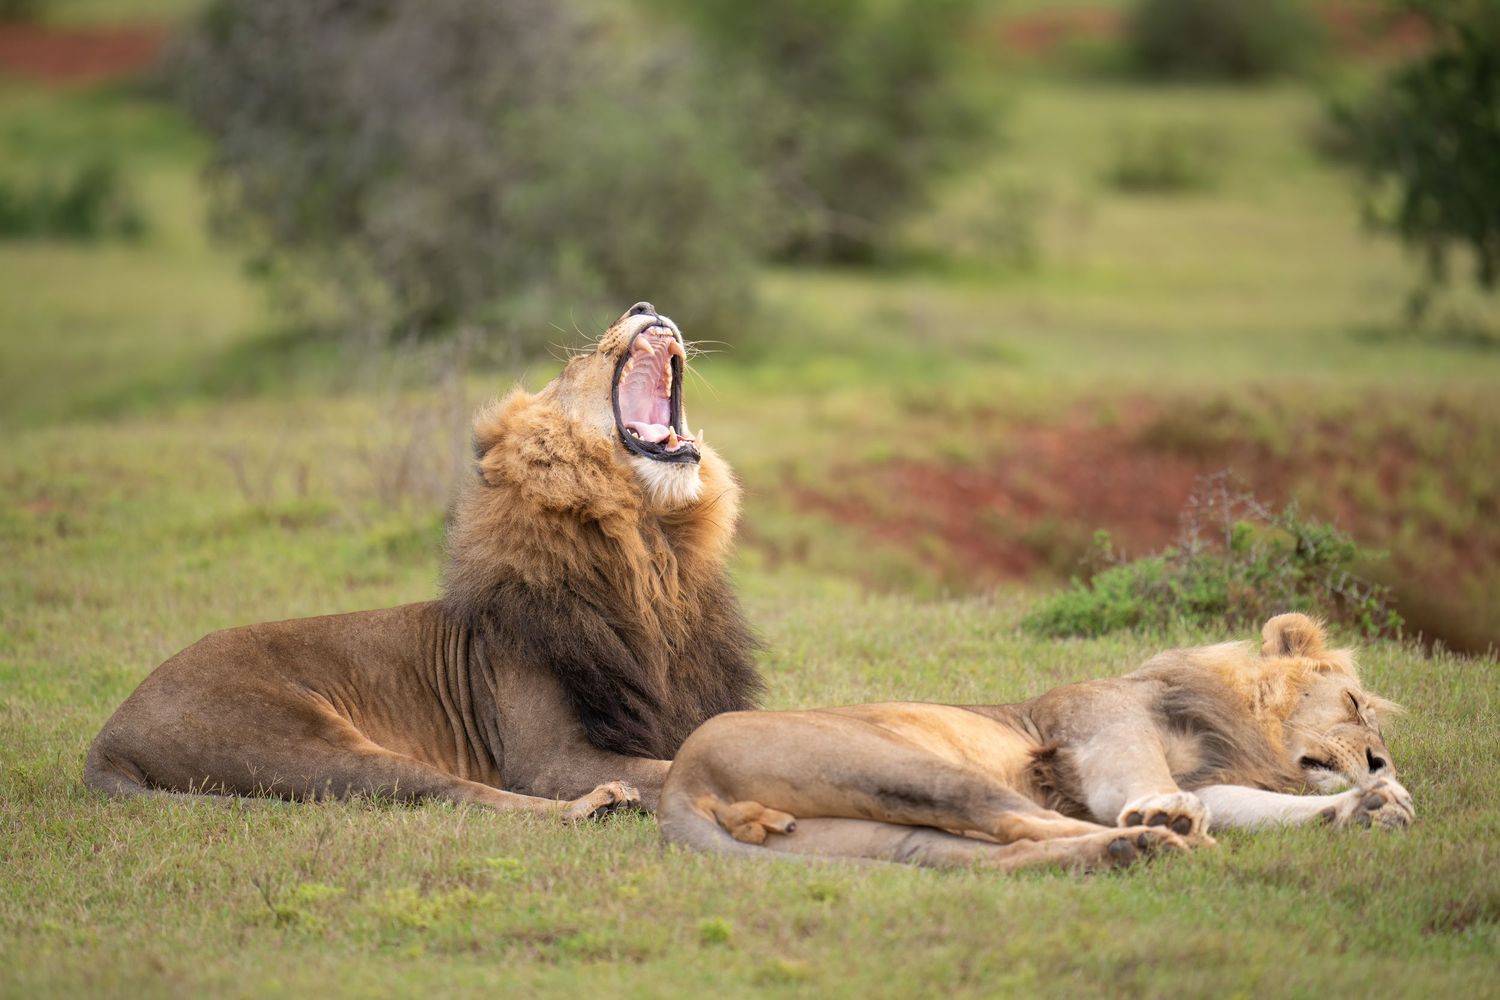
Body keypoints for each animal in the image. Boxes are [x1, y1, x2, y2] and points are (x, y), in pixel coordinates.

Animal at [85, 302, 761, 820]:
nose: (643, 306)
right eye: (577, 362)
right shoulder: (548, 757)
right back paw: (597, 803)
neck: (654, 556)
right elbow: (672, 767)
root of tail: (108, 738)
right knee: (459, 793)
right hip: (303, 742)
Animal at [659, 613, 1413, 869]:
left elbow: (1259, 807)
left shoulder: (1216, 780)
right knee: (1026, 821)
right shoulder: (1099, 728)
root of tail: (680, 783)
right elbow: (1142, 779)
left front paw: (1375, 805)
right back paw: (1155, 839)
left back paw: (1129, 851)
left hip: (873, 833)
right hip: (908, 765)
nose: (1379, 760)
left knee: (999, 851)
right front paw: (1168, 813)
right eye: (1354, 704)